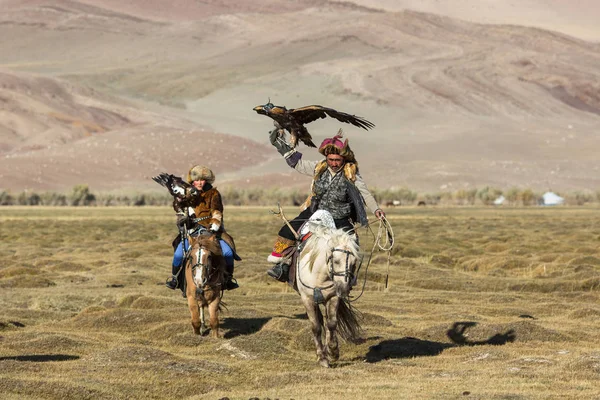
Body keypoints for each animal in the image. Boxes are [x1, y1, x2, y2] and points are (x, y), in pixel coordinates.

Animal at [296, 220, 360, 368]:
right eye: (335, 260)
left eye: (354, 263)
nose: (343, 288)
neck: (320, 276)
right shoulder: (307, 299)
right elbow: (316, 327)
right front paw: (322, 358)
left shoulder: (333, 297)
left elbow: (331, 323)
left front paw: (333, 351)